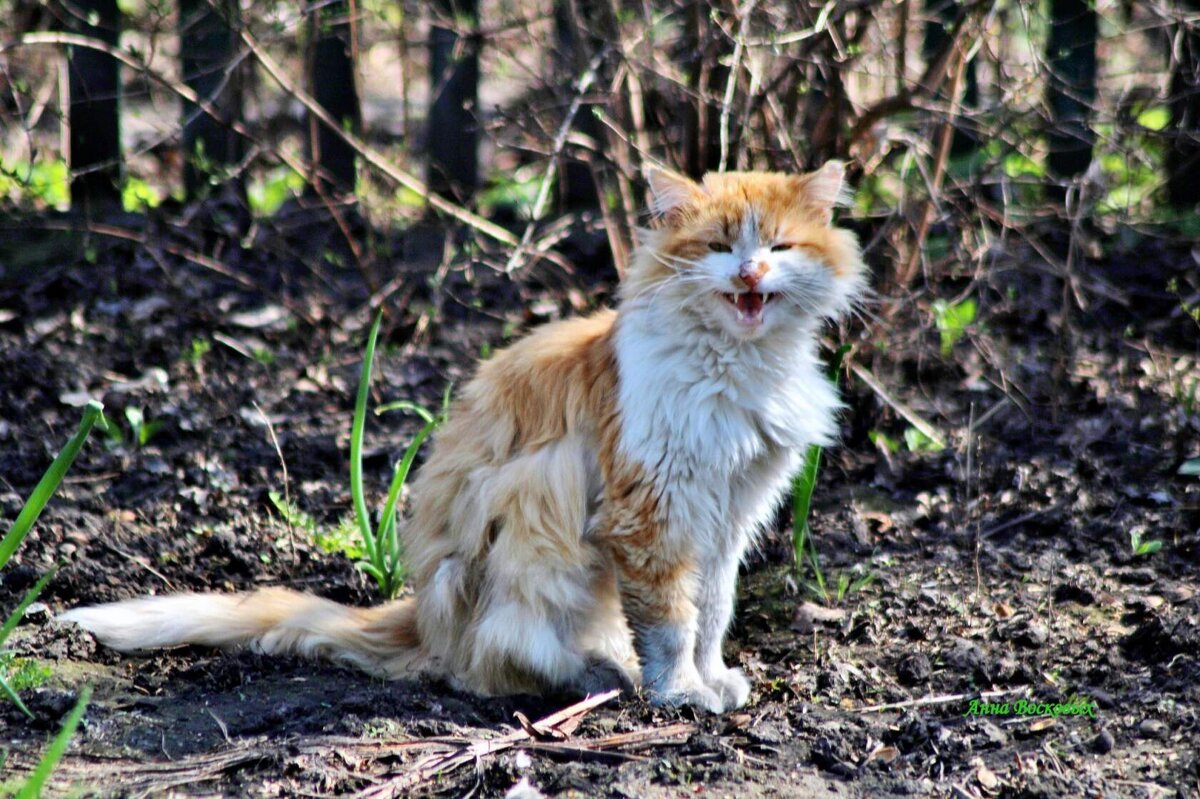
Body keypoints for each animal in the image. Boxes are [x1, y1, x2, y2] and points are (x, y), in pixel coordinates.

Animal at [60, 161, 864, 710]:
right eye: (721, 245)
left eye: (780, 247)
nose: (751, 272)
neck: (740, 369)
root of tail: (419, 614)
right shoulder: (653, 511)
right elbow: (670, 621)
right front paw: (678, 694)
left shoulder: (731, 512)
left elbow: (712, 614)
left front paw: (714, 677)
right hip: (540, 488)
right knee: (492, 662)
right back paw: (597, 673)